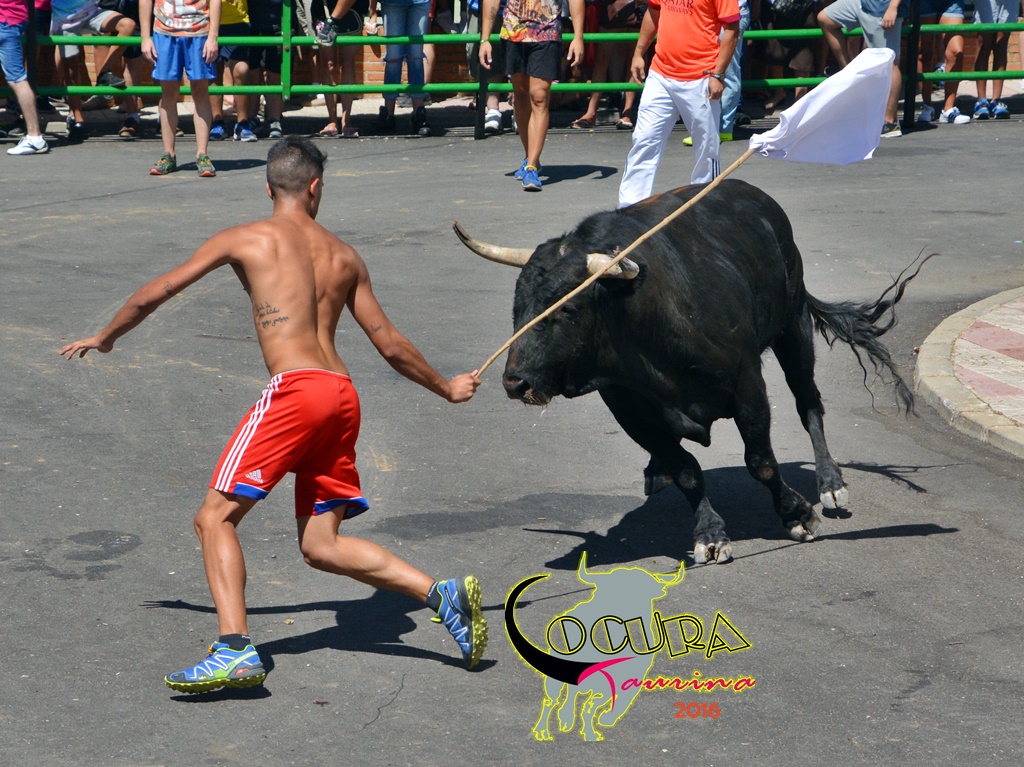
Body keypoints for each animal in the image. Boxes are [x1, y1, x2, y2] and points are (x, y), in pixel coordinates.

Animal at [456, 179, 928, 564]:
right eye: (518, 307)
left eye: (568, 309)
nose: (515, 382)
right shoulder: (630, 409)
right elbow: (686, 470)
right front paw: (710, 533)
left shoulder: (747, 383)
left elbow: (761, 461)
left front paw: (797, 514)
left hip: (791, 325)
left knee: (807, 401)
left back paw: (830, 482)